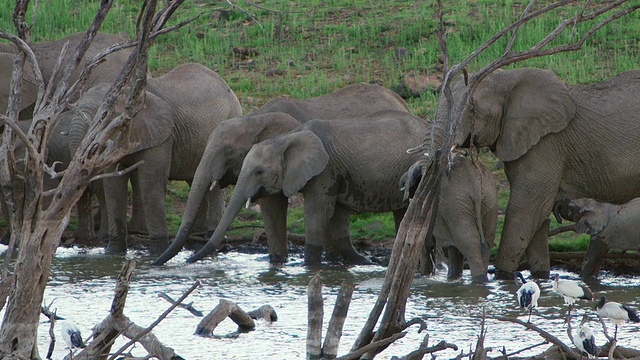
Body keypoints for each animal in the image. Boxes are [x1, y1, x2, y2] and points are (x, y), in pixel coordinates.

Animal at [65, 62, 241, 253]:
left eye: (104, 118)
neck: (129, 93)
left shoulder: (162, 135)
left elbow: (150, 183)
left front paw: (158, 251)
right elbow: (113, 186)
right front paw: (113, 253)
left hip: (229, 122)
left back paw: (208, 239)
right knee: (196, 180)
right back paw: (196, 241)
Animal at [152, 83, 410, 264]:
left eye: (229, 151)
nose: (187, 260)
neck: (255, 119)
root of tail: (401, 101)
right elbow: (272, 210)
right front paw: (277, 263)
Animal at [428, 69, 640, 280]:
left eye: (472, 110)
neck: (509, 78)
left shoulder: (545, 145)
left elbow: (524, 210)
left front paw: (503, 278)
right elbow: (539, 216)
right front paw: (541, 277)